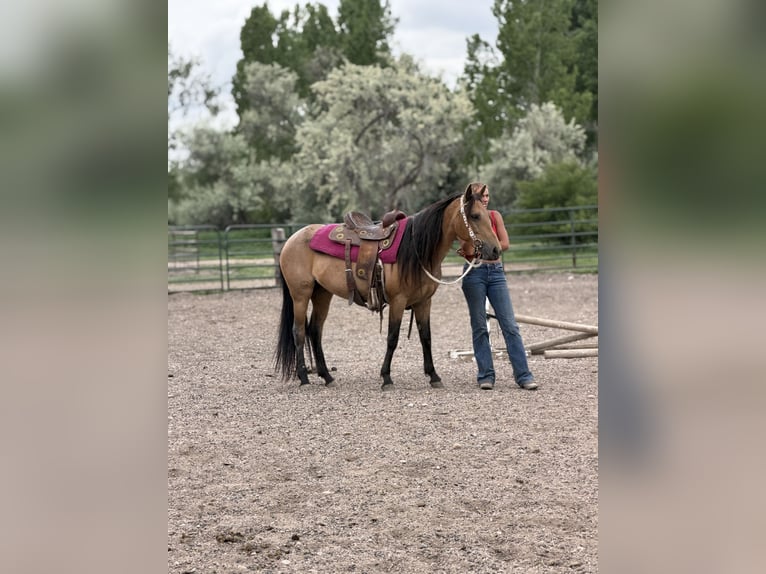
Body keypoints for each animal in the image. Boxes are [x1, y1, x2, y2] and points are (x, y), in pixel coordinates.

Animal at [274, 183, 502, 390]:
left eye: (486, 214)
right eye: (474, 215)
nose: (495, 250)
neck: (417, 250)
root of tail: (292, 239)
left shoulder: (424, 302)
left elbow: (426, 337)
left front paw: (434, 376)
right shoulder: (398, 301)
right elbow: (392, 338)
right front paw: (386, 378)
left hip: (322, 293)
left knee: (315, 331)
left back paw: (327, 376)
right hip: (300, 295)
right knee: (299, 331)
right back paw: (304, 378)